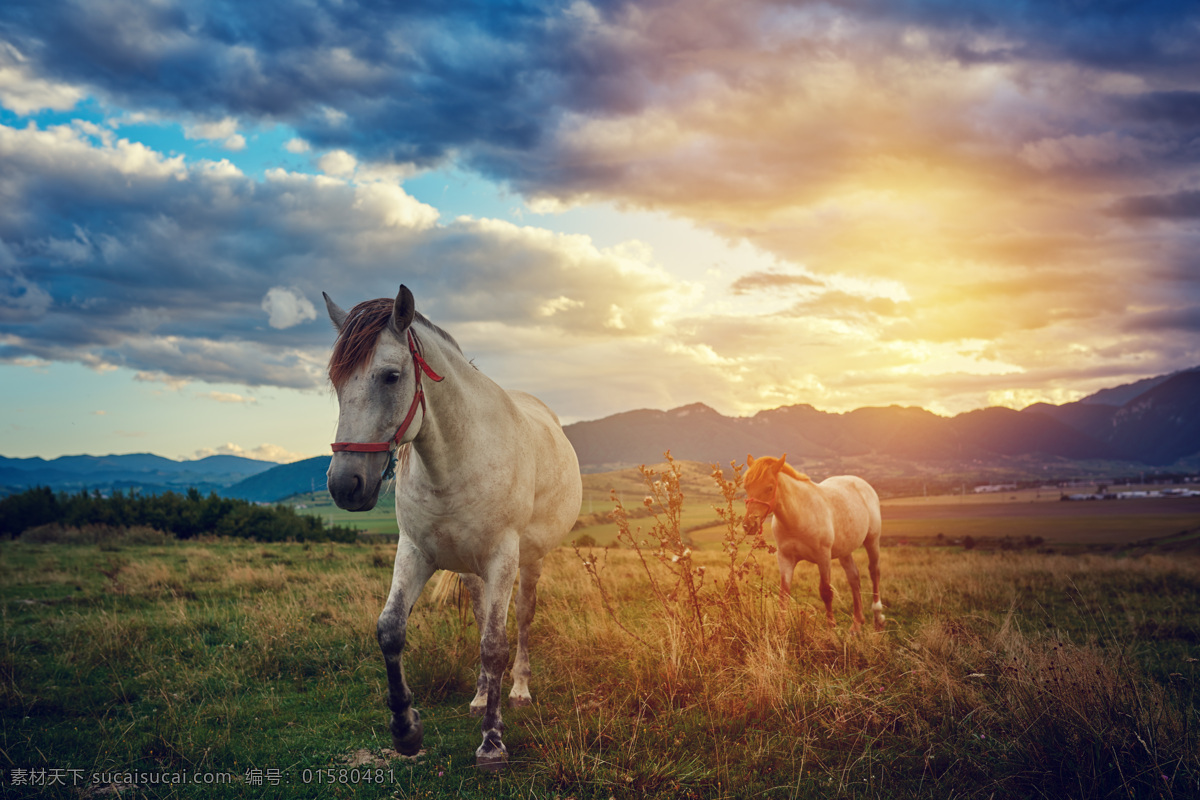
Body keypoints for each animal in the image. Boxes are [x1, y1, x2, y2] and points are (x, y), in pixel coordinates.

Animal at [319, 286, 580, 767]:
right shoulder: (415, 551)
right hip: (470, 567)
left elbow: (495, 643)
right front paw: (406, 729)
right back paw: (479, 697)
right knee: (480, 615)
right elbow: (390, 630)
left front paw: (492, 742)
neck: (457, 459)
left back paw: (518, 690)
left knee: (522, 619)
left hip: (529, 561)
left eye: (390, 377)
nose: (345, 485)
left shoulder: (503, 556)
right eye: (337, 382)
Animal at [739, 455, 883, 633]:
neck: (798, 516)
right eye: (746, 486)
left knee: (874, 571)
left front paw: (831, 629)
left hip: (872, 540)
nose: (749, 525)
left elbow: (826, 592)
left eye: (770, 487)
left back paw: (878, 617)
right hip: (845, 551)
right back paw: (856, 623)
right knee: (854, 577)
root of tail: (862, 483)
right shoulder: (785, 558)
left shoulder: (823, 557)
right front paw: (780, 631)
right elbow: (783, 593)